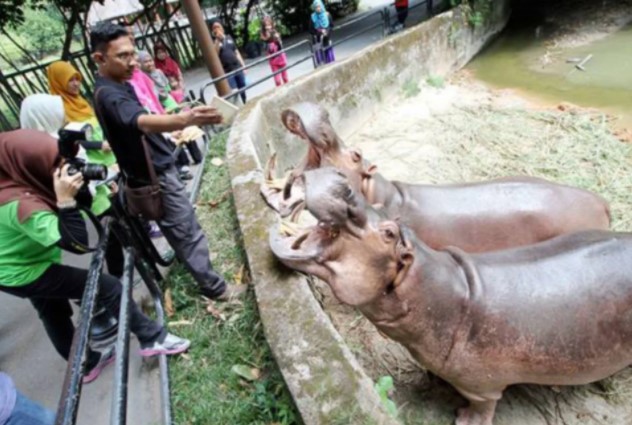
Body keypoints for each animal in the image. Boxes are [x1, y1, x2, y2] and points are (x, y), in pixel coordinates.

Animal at [272, 168, 632, 424]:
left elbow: (482, 407)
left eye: (389, 233)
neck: (449, 292)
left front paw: (463, 418)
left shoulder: (484, 387)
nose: (339, 177)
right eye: (375, 208)